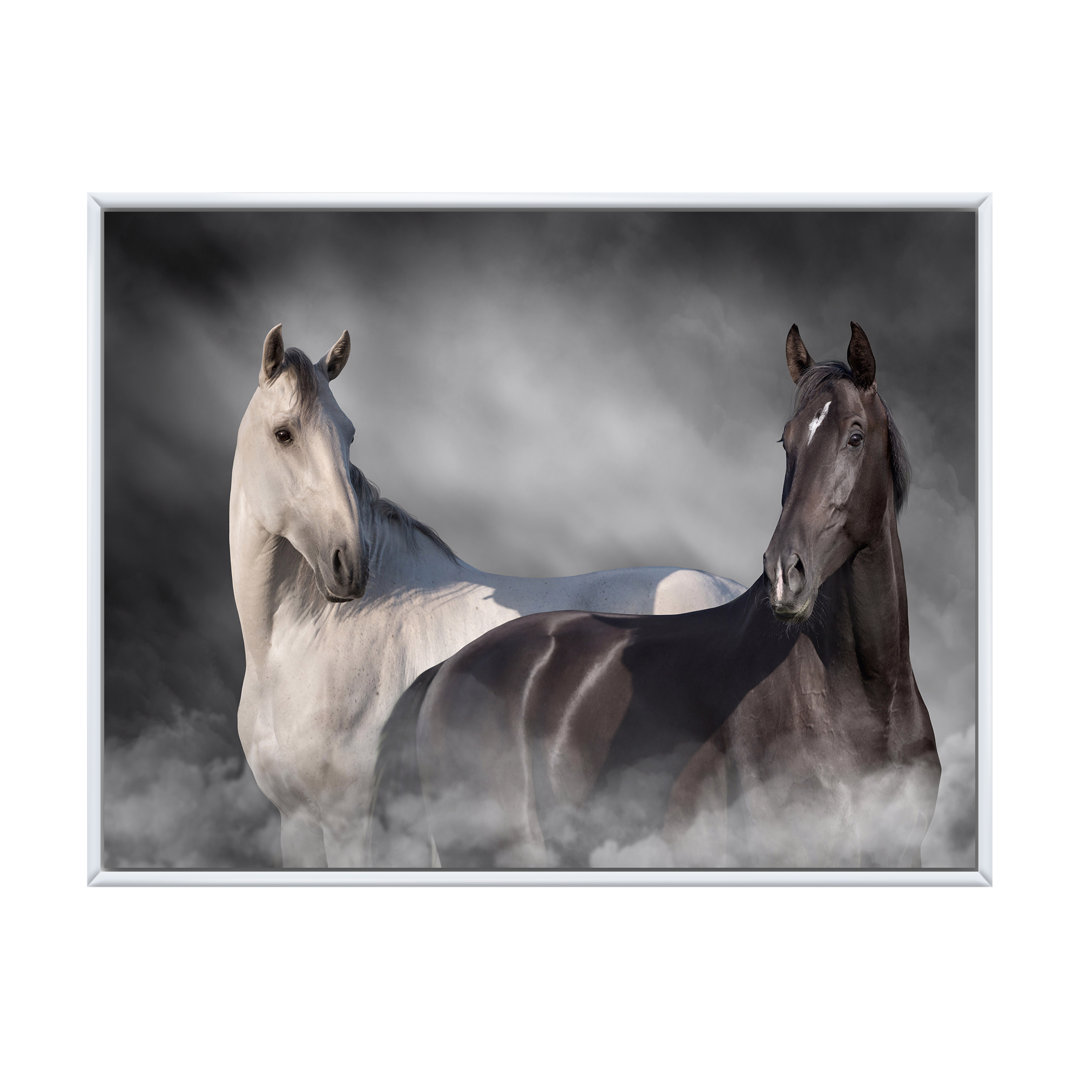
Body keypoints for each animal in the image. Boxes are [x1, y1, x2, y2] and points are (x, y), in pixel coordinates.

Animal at [228, 324, 744, 867]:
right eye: (284, 433)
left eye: (348, 434)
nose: (349, 564)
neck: (295, 646)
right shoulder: (297, 822)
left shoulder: (352, 824)